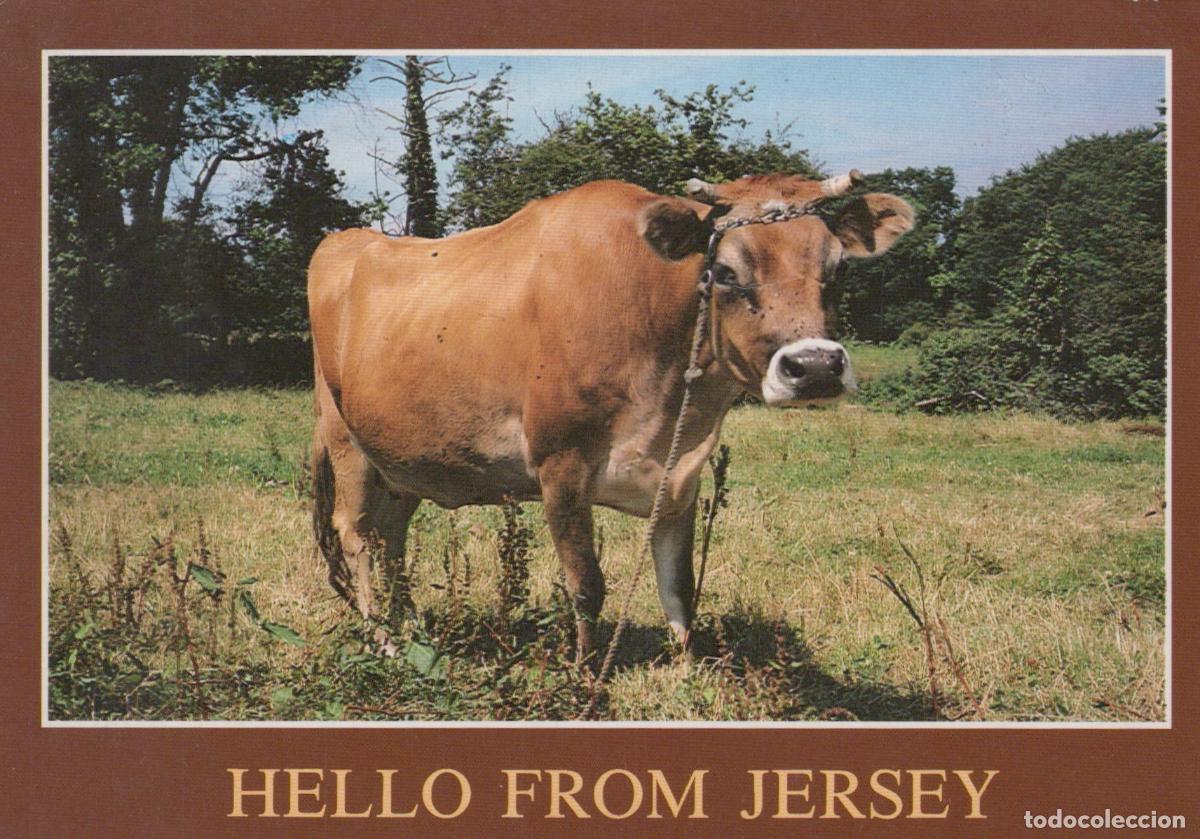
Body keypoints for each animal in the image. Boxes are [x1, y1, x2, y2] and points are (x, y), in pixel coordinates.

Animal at [308, 171, 914, 661]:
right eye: (723, 270)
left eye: (837, 268)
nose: (815, 368)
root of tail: (344, 239)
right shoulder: (561, 466)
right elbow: (587, 586)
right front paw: (583, 676)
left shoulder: (682, 473)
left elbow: (678, 586)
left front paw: (690, 671)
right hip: (347, 442)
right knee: (356, 536)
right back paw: (383, 639)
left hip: (403, 459)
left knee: (391, 539)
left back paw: (412, 628)